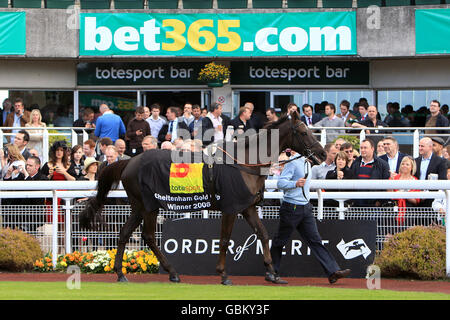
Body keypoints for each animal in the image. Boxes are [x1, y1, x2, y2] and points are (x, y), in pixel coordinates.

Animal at [79, 111, 326, 284]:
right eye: (303, 132)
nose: (323, 153)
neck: (245, 163)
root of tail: (129, 161)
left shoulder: (247, 207)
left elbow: (264, 235)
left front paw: (273, 273)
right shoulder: (231, 207)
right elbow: (225, 240)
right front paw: (223, 274)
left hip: (139, 206)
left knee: (124, 234)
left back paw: (121, 273)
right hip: (149, 206)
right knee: (148, 236)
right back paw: (170, 272)